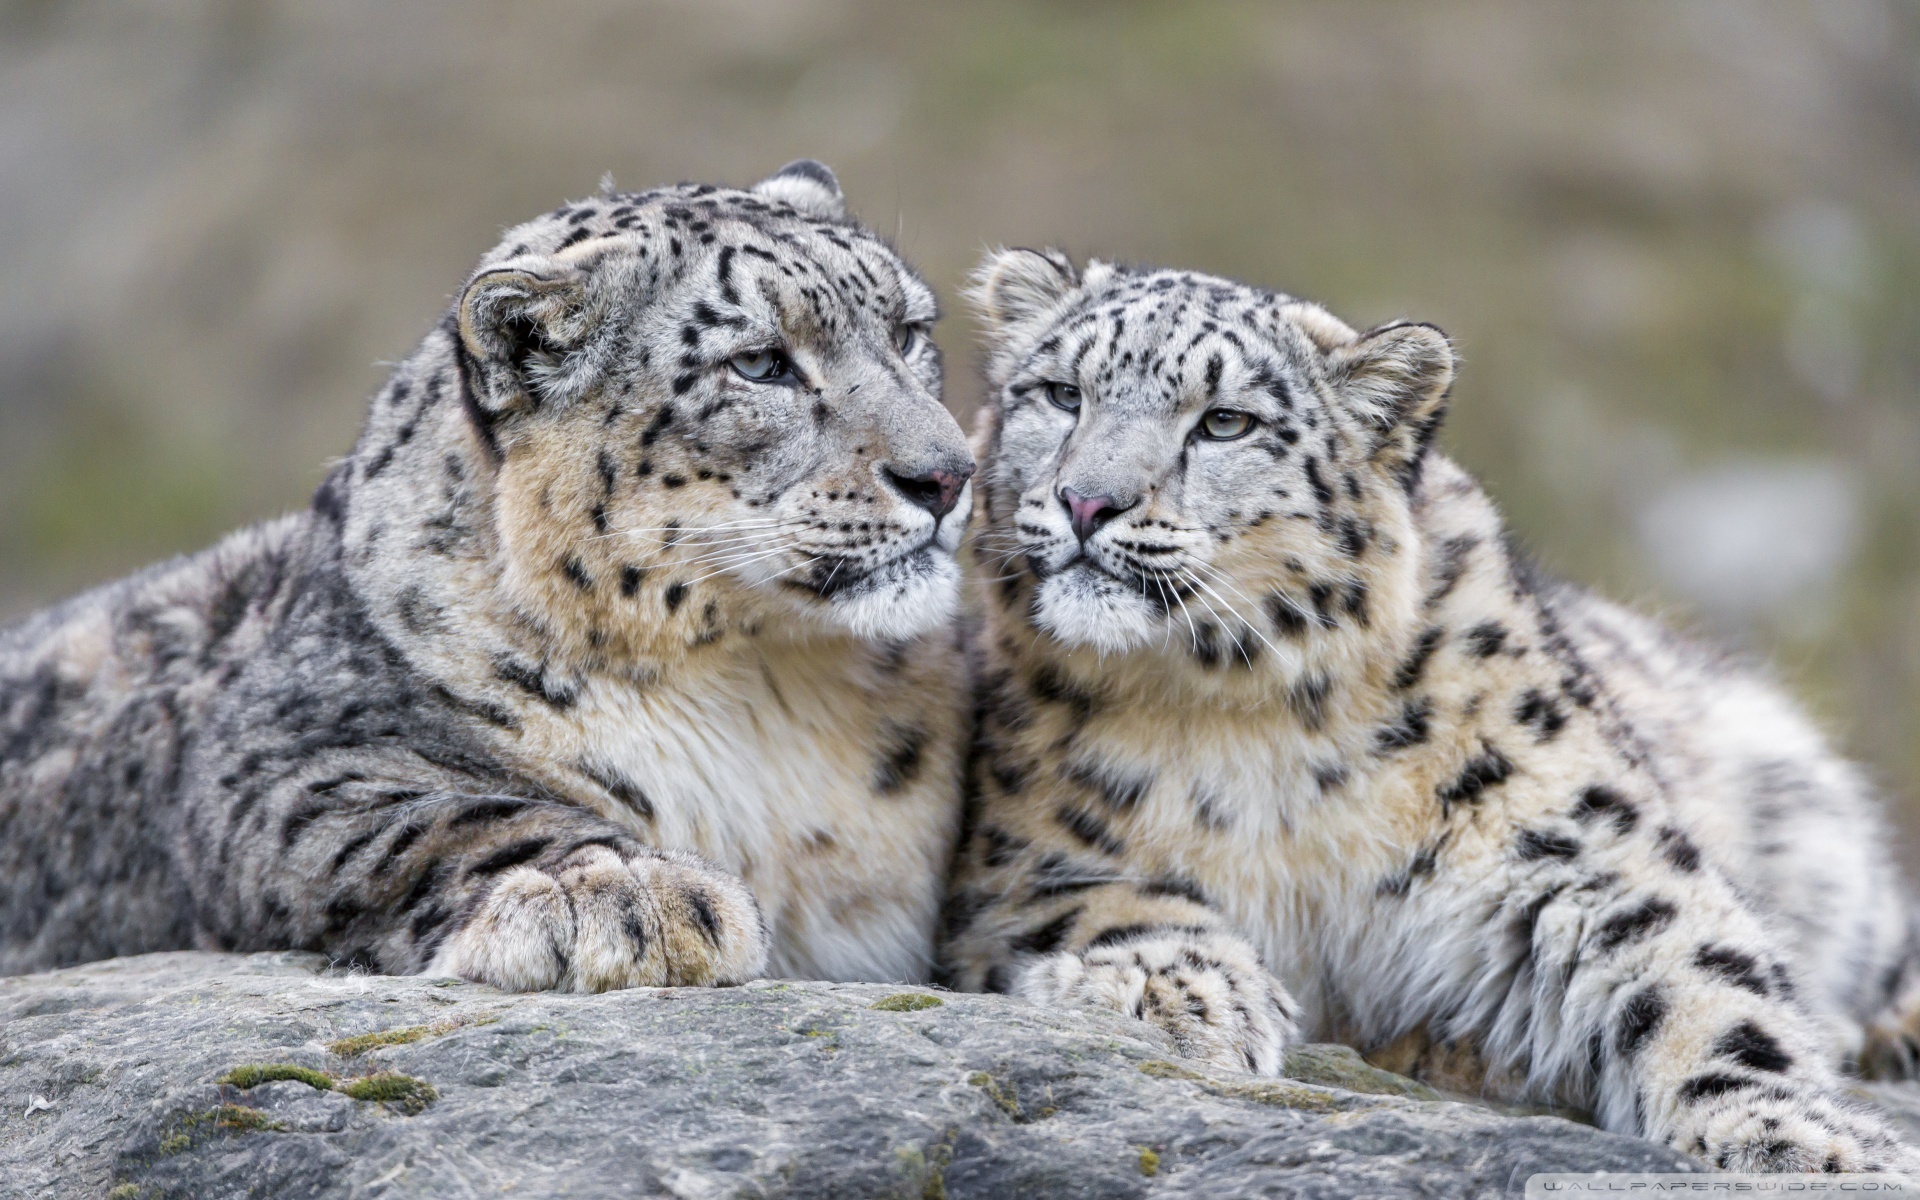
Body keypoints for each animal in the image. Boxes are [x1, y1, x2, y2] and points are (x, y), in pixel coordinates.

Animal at [0, 160, 976, 995]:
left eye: (908, 332)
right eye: (760, 361)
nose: (947, 473)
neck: (763, 690)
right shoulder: (280, 760)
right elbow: (456, 816)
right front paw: (627, 892)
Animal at [939, 245, 1920, 1172]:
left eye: (1224, 421)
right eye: (1062, 394)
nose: (1087, 500)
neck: (1254, 726)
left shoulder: (1582, 844)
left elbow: (1701, 976)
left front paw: (1797, 1137)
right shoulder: (1025, 861)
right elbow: (1120, 903)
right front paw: (1173, 995)